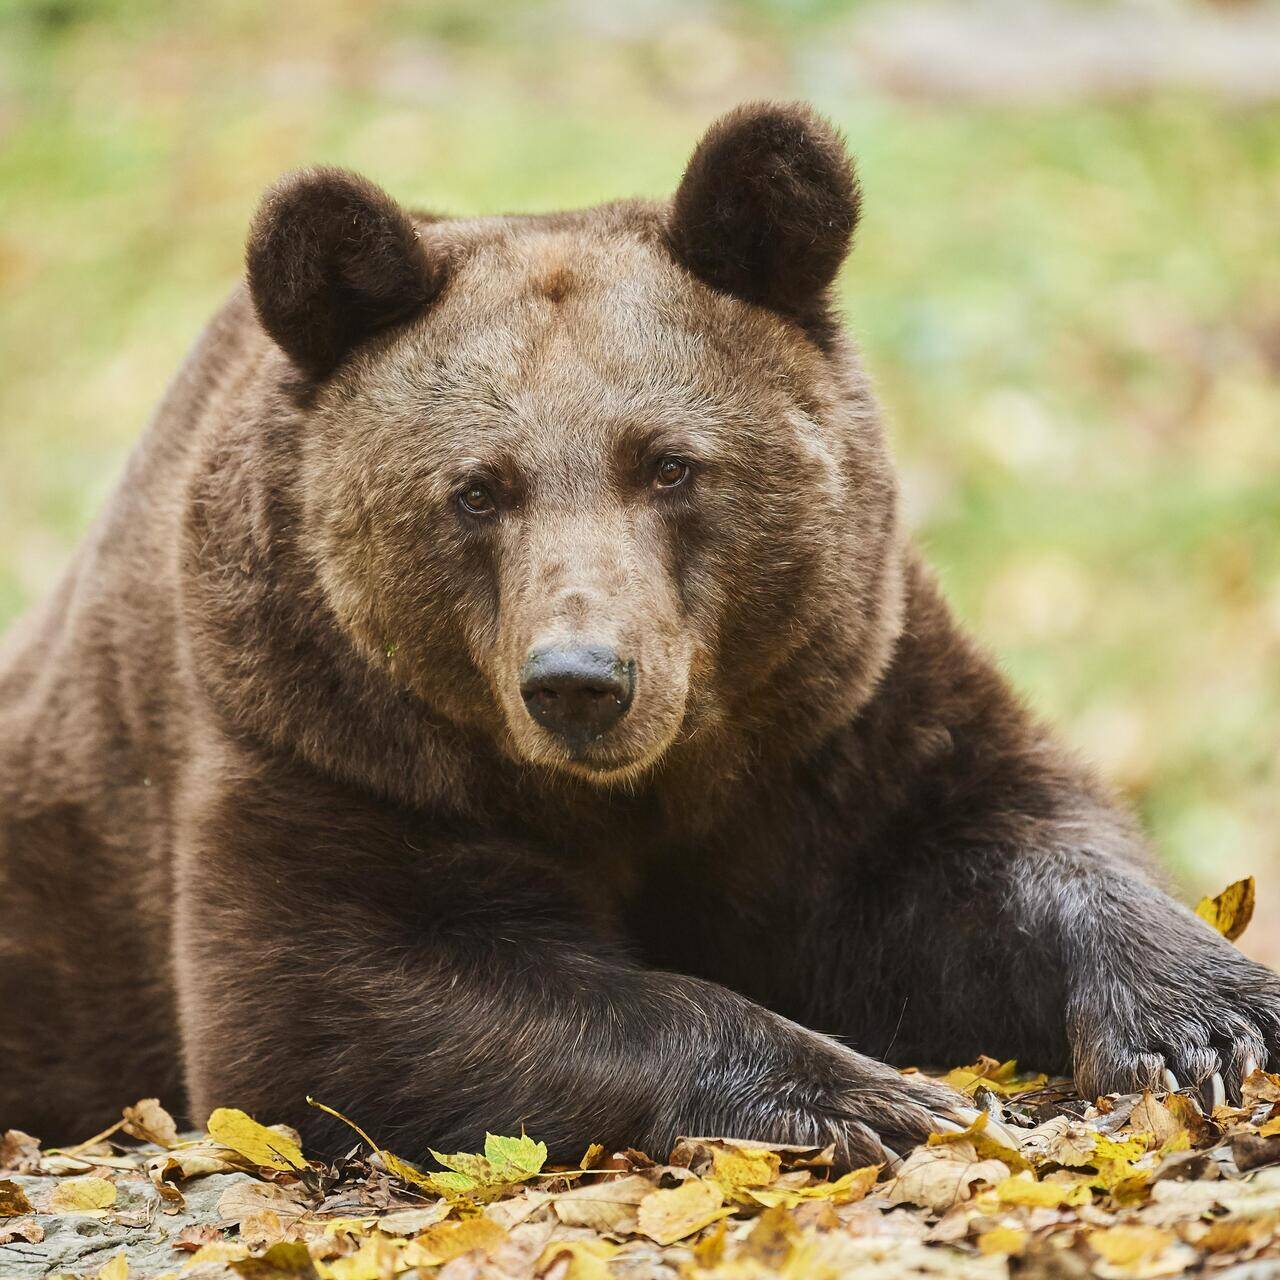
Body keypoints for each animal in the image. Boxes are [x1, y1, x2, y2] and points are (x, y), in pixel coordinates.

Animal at [2, 102, 1280, 1162]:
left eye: (669, 464)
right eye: (477, 489)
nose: (580, 679)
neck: (634, 785)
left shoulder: (837, 704)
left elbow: (994, 834)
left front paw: (1207, 1017)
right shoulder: (319, 740)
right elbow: (331, 996)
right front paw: (857, 1095)